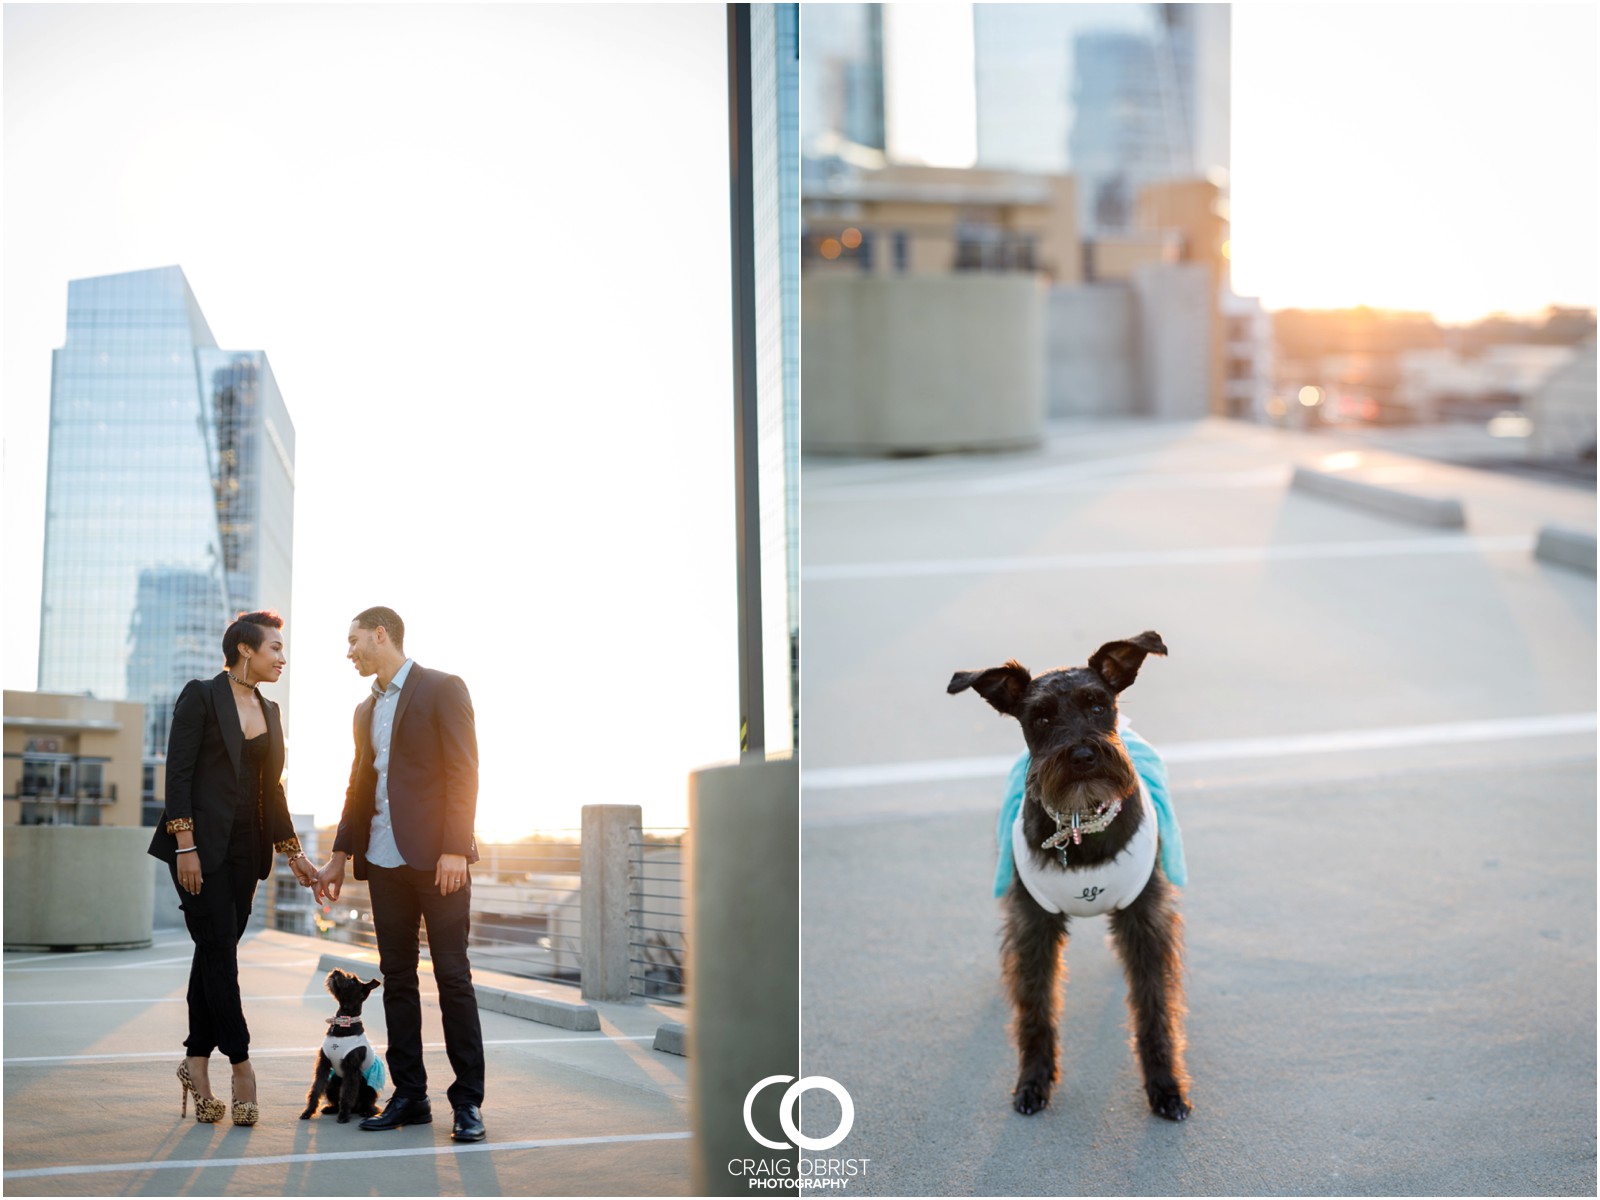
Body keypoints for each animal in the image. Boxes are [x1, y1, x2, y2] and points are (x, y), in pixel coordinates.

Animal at [300, 966, 385, 1126]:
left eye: (353, 981)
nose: (336, 971)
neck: (344, 1023)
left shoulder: (351, 1069)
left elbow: (347, 1094)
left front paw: (344, 1116)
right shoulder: (323, 1064)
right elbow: (316, 1089)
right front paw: (308, 1112)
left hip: (368, 1088)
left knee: (372, 1105)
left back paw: (366, 1112)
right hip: (331, 1083)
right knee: (336, 1099)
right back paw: (330, 1108)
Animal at [947, 633, 1190, 1126]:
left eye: (1098, 705)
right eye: (1039, 718)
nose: (1082, 755)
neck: (1080, 825)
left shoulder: (1146, 921)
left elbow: (1155, 1006)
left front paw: (1165, 1087)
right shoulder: (1033, 925)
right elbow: (1035, 1008)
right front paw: (1032, 1082)